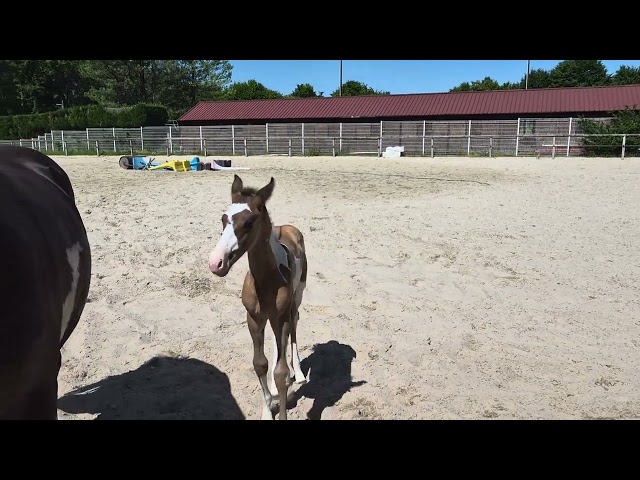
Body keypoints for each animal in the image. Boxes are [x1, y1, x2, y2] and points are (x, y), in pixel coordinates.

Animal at [209, 174, 308, 420]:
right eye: (223, 219)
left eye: (249, 222)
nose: (216, 263)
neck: (265, 280)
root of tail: (289, 228)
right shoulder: (254, 318)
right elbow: (260, 364)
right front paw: (266, 410)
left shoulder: (281, 316)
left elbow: (281, 372)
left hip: (297, 298)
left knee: (294, 326)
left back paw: (299, 372)